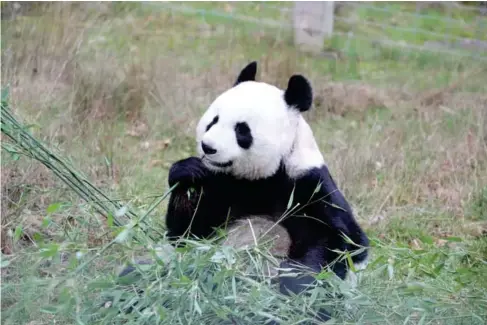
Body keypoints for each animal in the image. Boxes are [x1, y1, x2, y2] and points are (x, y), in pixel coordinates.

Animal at [162, 61, 368, 322]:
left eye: (242, 130)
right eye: (213, 121)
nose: (208, 147)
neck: (262, 178)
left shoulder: (308, 186)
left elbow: (343, 241)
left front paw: (294, 280)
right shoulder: (225, 186)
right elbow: (187, 232)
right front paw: (187, 173)